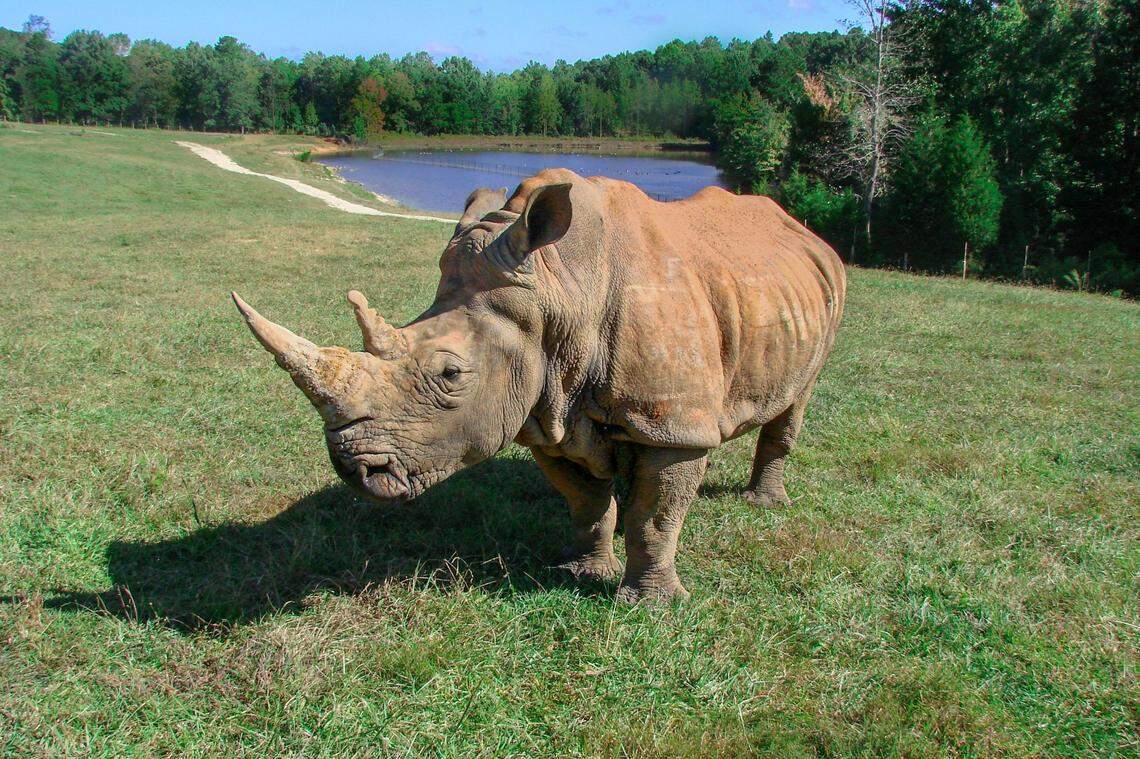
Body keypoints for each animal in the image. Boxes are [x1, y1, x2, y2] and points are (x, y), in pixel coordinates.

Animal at [232, 170, 845, 602]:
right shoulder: (543, 409)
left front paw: (653, 605)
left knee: (796, 401)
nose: (355, 472)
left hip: (823, 290)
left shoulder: (670, 423)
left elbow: (657, 514)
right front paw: (584, 571)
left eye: (450, 375)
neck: (558, 290)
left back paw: (765, 503)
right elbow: (587, 501)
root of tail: (801, 228)